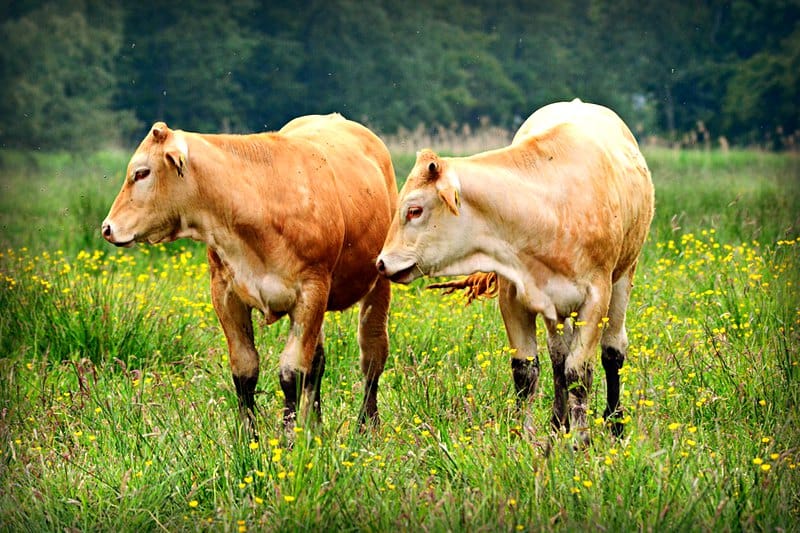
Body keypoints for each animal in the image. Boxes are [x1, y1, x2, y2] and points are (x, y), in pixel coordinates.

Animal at [102, 114, 398, 436]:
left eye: (141, 173)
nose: (107, 227)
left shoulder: (312, 292)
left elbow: (291, 371)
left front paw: (288, 437)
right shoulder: (225, 293)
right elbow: (245, 370)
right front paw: (250, 437)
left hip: (379, 283)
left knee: (372, 356)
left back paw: (366, 426)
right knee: (318, 362)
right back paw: (315, 428)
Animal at [376, 100, 654, 447]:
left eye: (414, 210)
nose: (381, 263)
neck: (549, 206)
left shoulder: (595, 298)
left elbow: (579, 373)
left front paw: (579, 441)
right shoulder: (514, 298)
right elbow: (527, 371)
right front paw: (525, 435)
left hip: (623, 277)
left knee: (612, 351)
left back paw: (615, 424)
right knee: (558, 357)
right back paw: (558, 423)